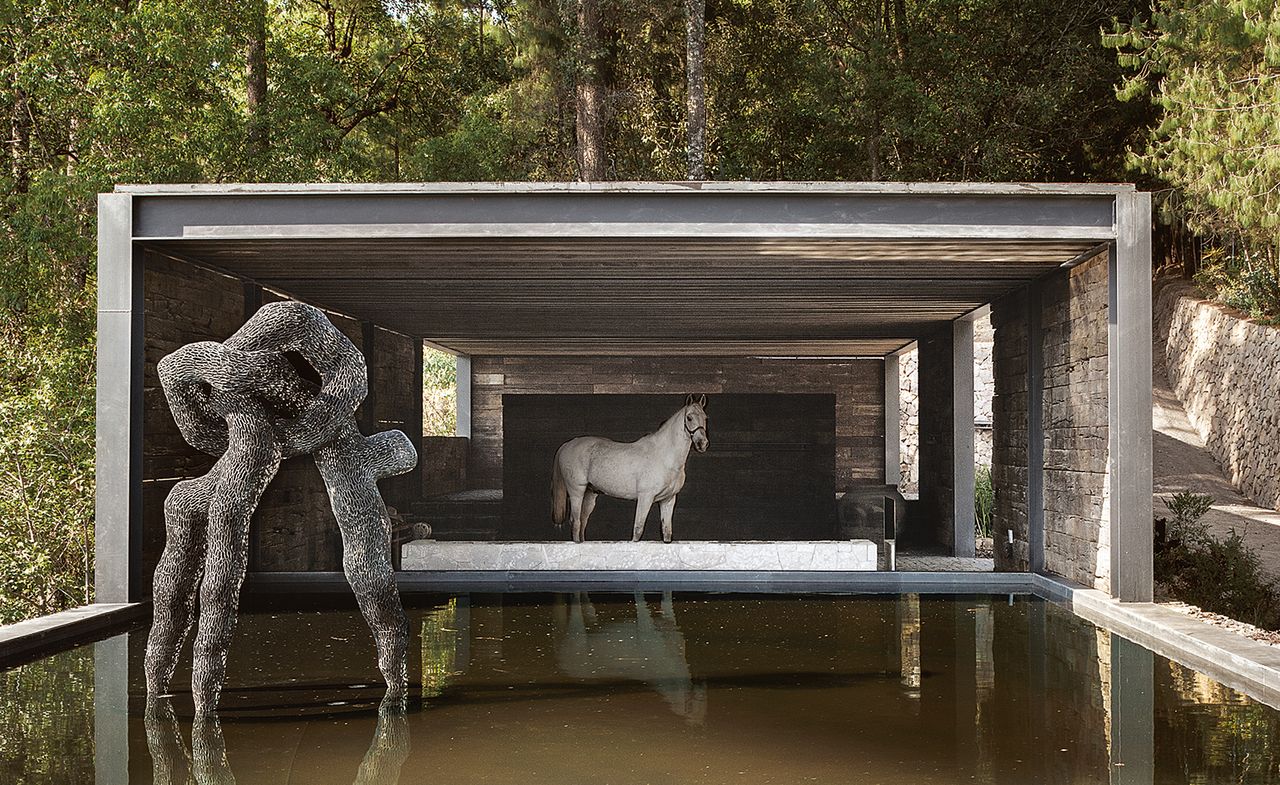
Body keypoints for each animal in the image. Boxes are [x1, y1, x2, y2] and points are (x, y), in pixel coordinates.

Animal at [550, 394, 711, 542]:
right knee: (576, 523)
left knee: (582, 523)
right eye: (689, 418)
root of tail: (567, 444)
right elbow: (638, 530)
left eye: (705, 418)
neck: (664, 456)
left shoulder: (668, 500)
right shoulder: (645, 497)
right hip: (577, 492)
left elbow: (667, 533)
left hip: (590, 494)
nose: (703, 444)